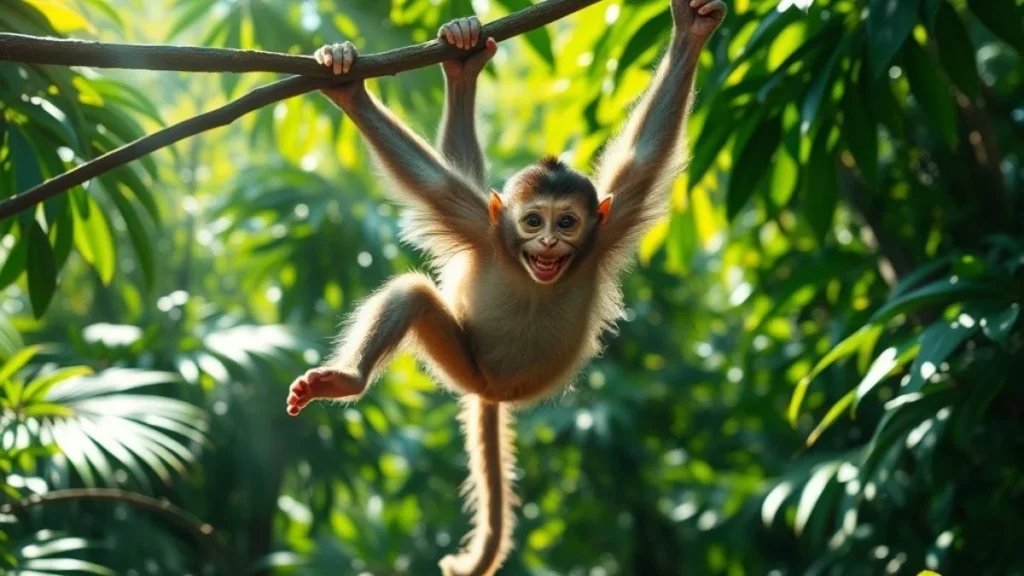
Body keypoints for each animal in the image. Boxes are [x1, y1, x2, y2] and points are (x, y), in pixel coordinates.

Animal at [287, 2, 726, 574]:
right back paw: (346, 381)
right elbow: (434, 184)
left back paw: (462, 69)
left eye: (567, 223)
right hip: (462, 362)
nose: (547, 243)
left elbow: (646, 155)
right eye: (534, 220)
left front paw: (691, 32)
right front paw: (348, 89)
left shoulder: (604, 233)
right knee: (414, 294)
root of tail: (495, 392)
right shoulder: (482, 227)